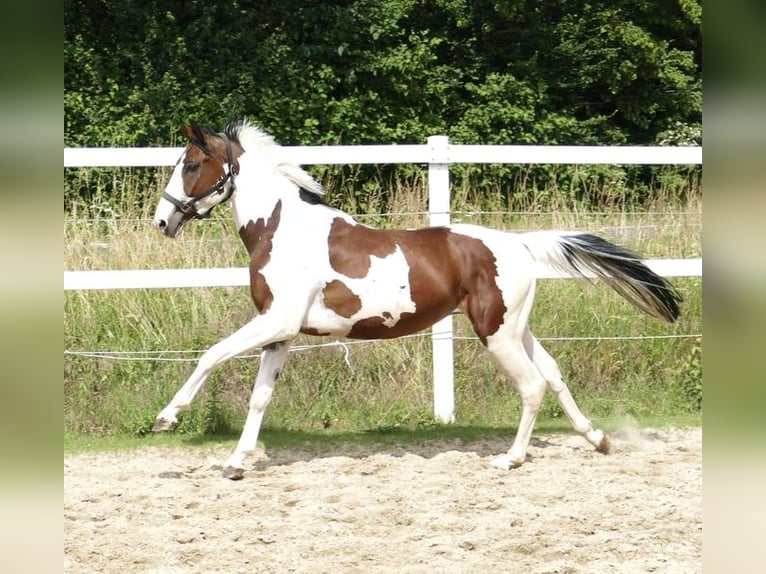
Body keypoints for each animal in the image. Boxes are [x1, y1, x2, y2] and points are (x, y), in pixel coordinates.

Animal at [152, 118, 684, 482]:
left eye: (192, 165)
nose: (163, 220)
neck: (282, 230)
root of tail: (519, 244)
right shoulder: (280, 332)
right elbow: (260, 396)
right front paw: (237, 463)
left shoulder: (275, 321)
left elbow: (210, 355)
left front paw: (167, 418)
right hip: (515, 328)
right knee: (553, 374)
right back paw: (598, 439)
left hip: (496, 334)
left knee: (532, 385)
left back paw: (510, 459)